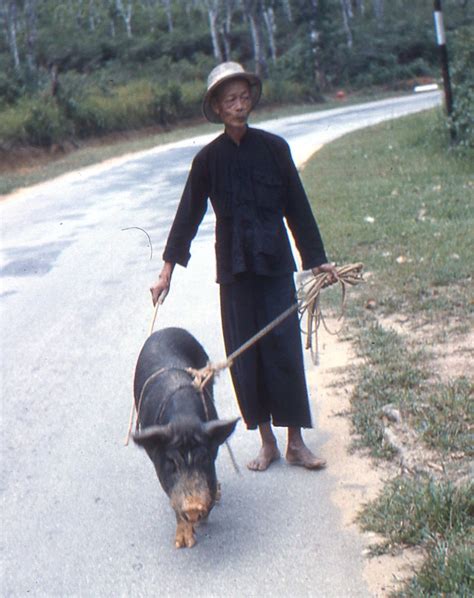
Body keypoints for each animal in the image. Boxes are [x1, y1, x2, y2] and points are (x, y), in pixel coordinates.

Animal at [132, 328, 237, 548]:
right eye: (172, 462)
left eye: (204, 458)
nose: (194, 508)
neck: (184, 418)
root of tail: (165, 329)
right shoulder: (159, 465)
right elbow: (172, 495)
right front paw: (183, 543)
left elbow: (210, 482)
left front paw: (210, 507)